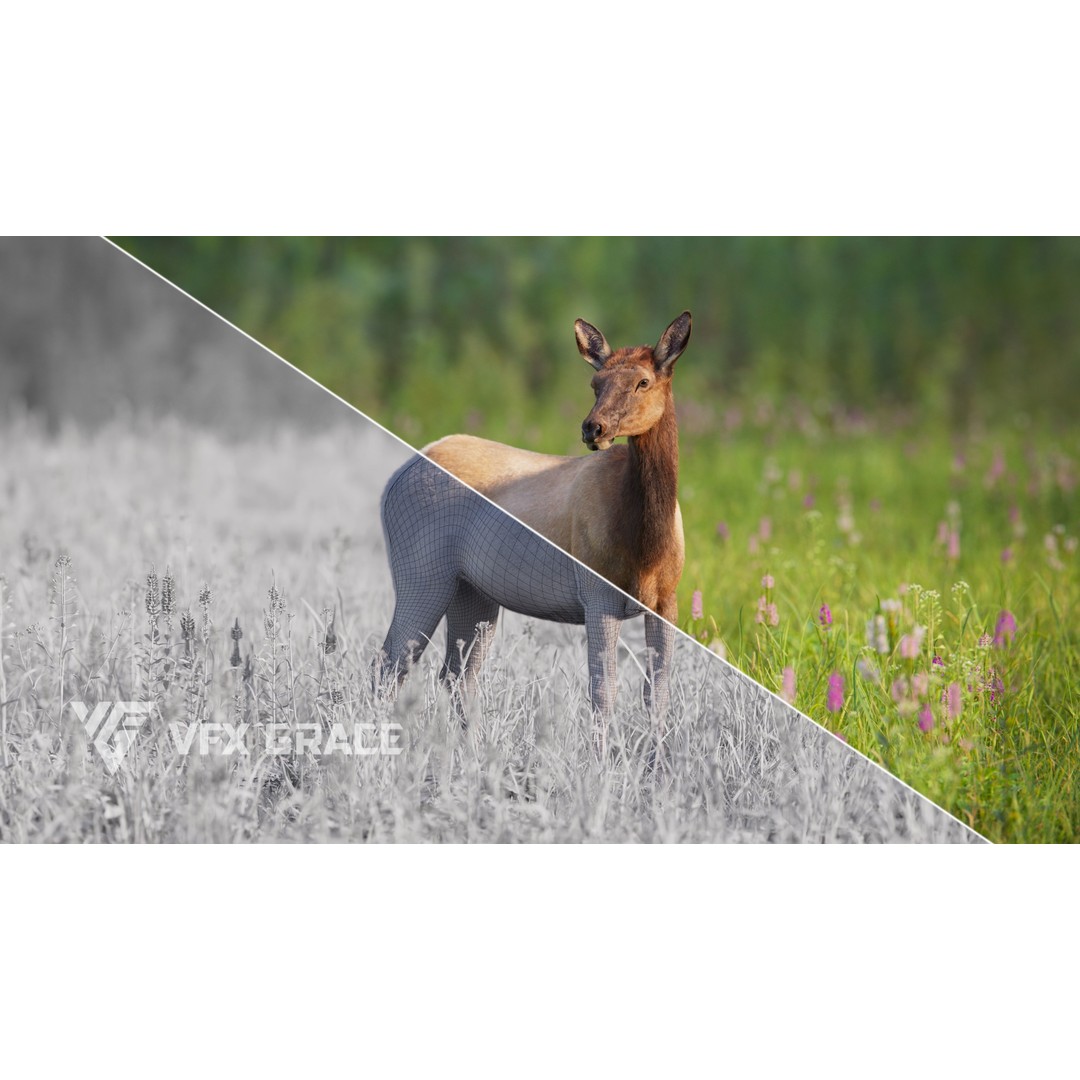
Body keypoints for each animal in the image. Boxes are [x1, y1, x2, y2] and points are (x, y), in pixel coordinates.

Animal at [377, 311, 690, 721]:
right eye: (595, 384)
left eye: (643, 382)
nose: (594, 428)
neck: (648, 545)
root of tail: (392, 482)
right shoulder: (598, 594)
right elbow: (603, 692)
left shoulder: (667, 601)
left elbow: (658, 696)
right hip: (422, 572)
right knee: (392, 663)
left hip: (471, 591)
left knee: (456, 676)